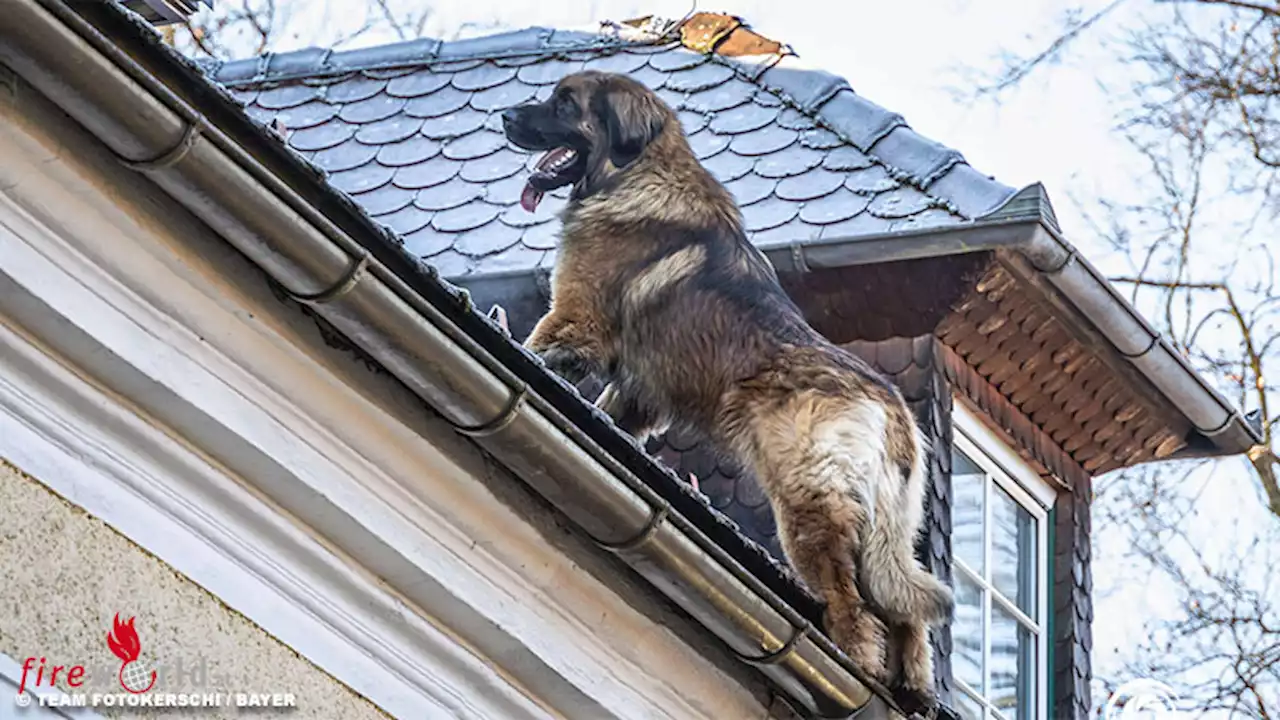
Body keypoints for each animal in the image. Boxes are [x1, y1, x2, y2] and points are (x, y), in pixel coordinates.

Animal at [499, 70, 952, 691]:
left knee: (857, 612)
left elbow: (540, 346)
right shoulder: (640, 388)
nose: (503, 116)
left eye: (564, 104)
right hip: (891, 529)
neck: (636, 170)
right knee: (907, 618)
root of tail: (891, 407)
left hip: (809, 508)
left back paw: (853, 667)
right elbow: (617, 410)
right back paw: (912, 691)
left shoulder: (576, 317)